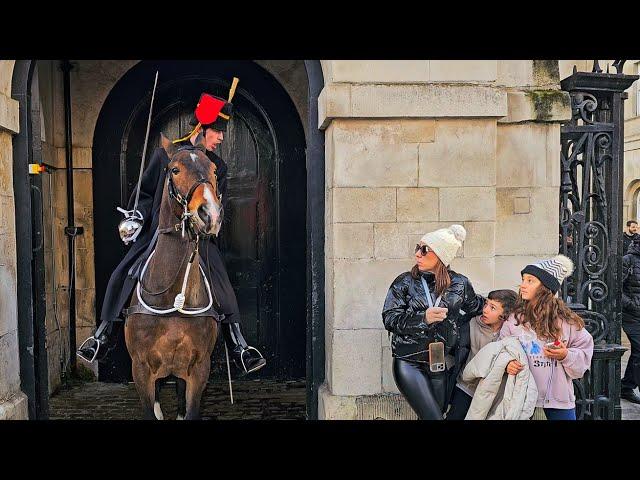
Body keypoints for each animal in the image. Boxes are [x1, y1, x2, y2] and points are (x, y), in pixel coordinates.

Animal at [125, 134, 225, 420]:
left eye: (214, 170)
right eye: (175, 170)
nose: (210, 214)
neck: (172, 298)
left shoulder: (199, 369)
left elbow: (190, 409)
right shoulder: (141, 369)